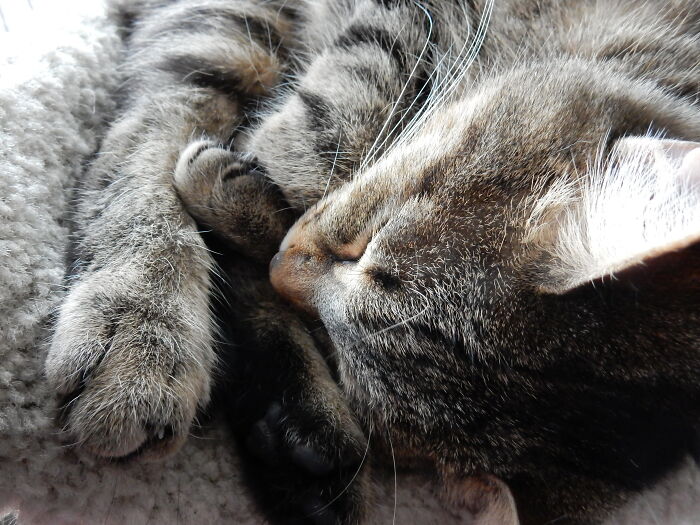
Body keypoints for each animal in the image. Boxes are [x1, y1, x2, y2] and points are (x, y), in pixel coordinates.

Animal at [49, 0, 700, 520]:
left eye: (342, 359)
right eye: (368, 239)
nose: (281, 270)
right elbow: (324, 126)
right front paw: (251, 192)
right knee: (155, 122)